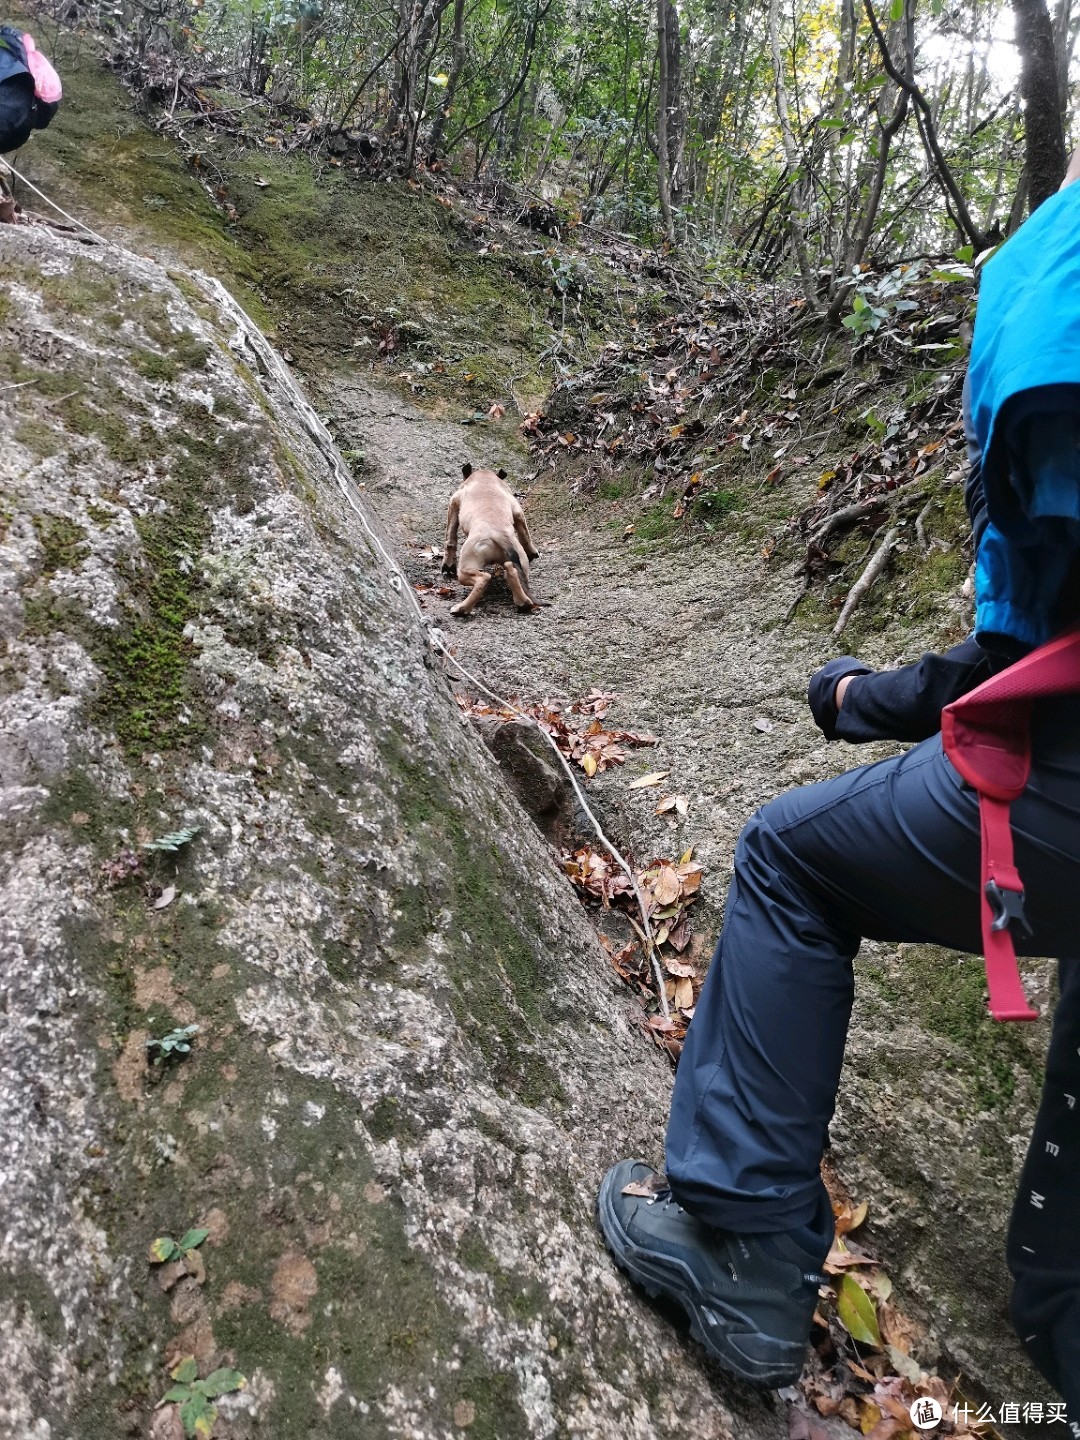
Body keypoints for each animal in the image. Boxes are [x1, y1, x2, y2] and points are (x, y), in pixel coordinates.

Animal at [440, 463, 541, 616]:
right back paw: (523, 603)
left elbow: (450, 538)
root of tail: (500, 535)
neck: (485, 477)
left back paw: (461, 608)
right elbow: (525, 532)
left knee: (483, 579)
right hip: (521, 562)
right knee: (512, 573)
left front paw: (448, 564)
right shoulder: (517, 510)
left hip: (465, 568)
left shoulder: (454, 503)